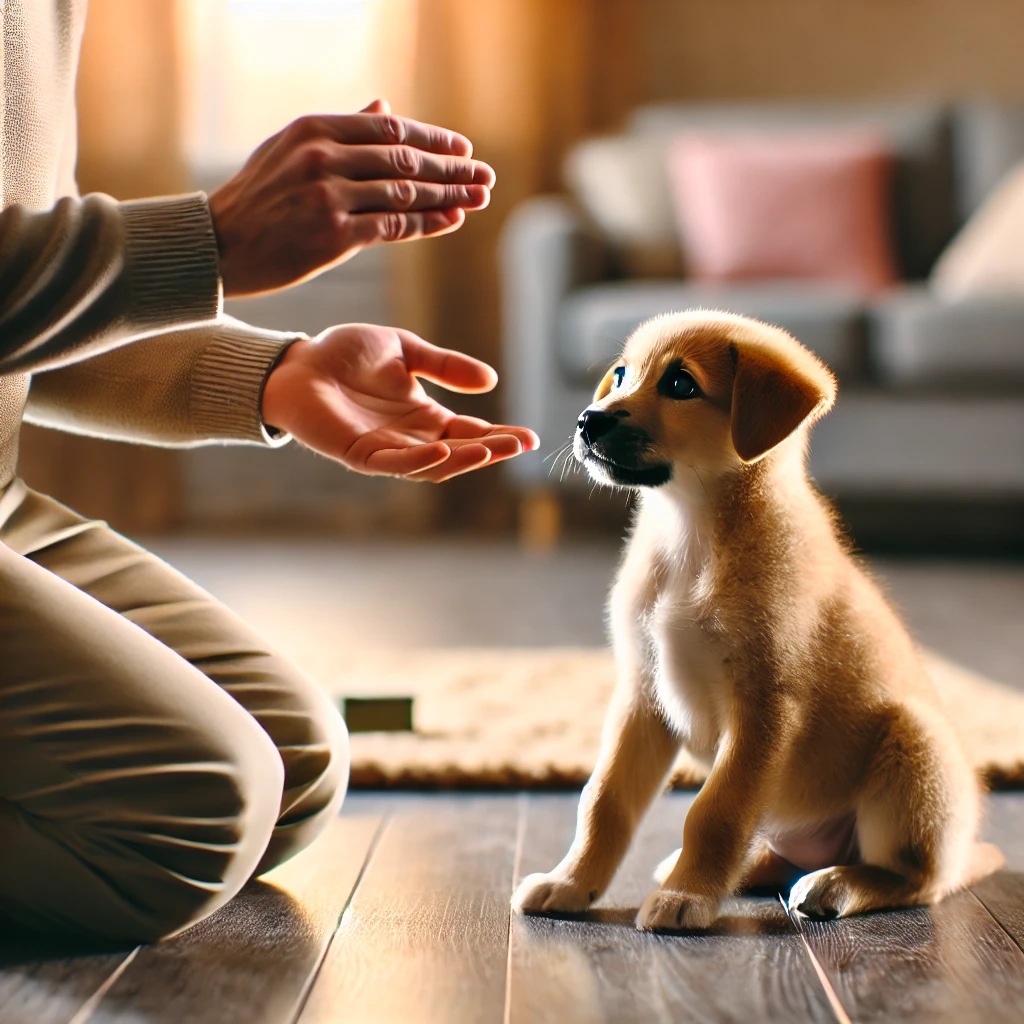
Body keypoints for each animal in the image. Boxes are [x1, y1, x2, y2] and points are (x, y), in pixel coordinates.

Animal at [512, 309, 999, 929]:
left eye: (680, 384)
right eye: (621, 374)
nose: (587, 420)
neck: (691, 537)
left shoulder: (764, 708)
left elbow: (714, 812)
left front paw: (688, 898)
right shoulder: (643, 696)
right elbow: (603, 801)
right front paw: (571, 883)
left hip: (912, 746)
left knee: (916, 880)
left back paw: (836, 883)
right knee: (774, 856)